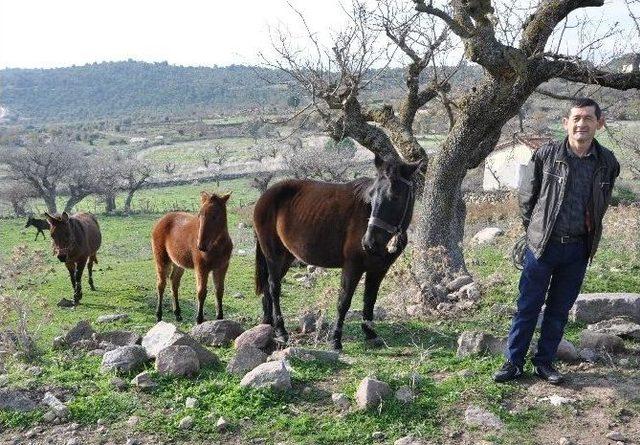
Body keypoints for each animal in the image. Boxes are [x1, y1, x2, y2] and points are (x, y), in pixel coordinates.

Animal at [152, 191, 232, 322]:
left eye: (215, 215)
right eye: (200, 215)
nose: (201, 246)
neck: (216, 246)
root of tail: (161, 220)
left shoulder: (222, 267)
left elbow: (219, 291)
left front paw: (220, 317)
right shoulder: (201, 268)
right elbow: (201, 292)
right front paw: (199, 319)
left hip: (178, 263)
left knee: (174, 282)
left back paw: (177, 313)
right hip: (162, 260)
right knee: (161, 284)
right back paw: (159, 315)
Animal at [252, 154, 422, 348]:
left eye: (395, 197)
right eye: (371, 196)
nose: (368, 242)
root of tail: (265, 196)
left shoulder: (378, 270)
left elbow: (370, 299)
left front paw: (370, 333)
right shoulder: (352, 267)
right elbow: (344, 301)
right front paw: (335, 339)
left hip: (286, 257)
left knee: (268, 287)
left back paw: (268, 324)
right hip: (274, 255)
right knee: (274, 287)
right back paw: (281, 330)